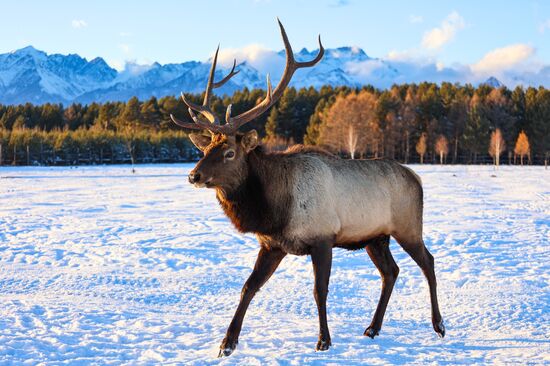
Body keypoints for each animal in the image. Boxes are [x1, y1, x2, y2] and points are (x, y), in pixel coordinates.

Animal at [172, 20, 448, 358]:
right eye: (206, 148)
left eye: (230, 153)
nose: (194, 175)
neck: (274, 209)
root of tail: (417, 178)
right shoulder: (272, 245)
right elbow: (249, 286)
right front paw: (227, 342)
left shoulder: (322, 238)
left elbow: (320, 290)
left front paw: (324, 340)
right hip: (375, 237)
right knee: (391, 271)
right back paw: (372, 328)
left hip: (408, 227)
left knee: (428, 262)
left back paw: (438, 324)